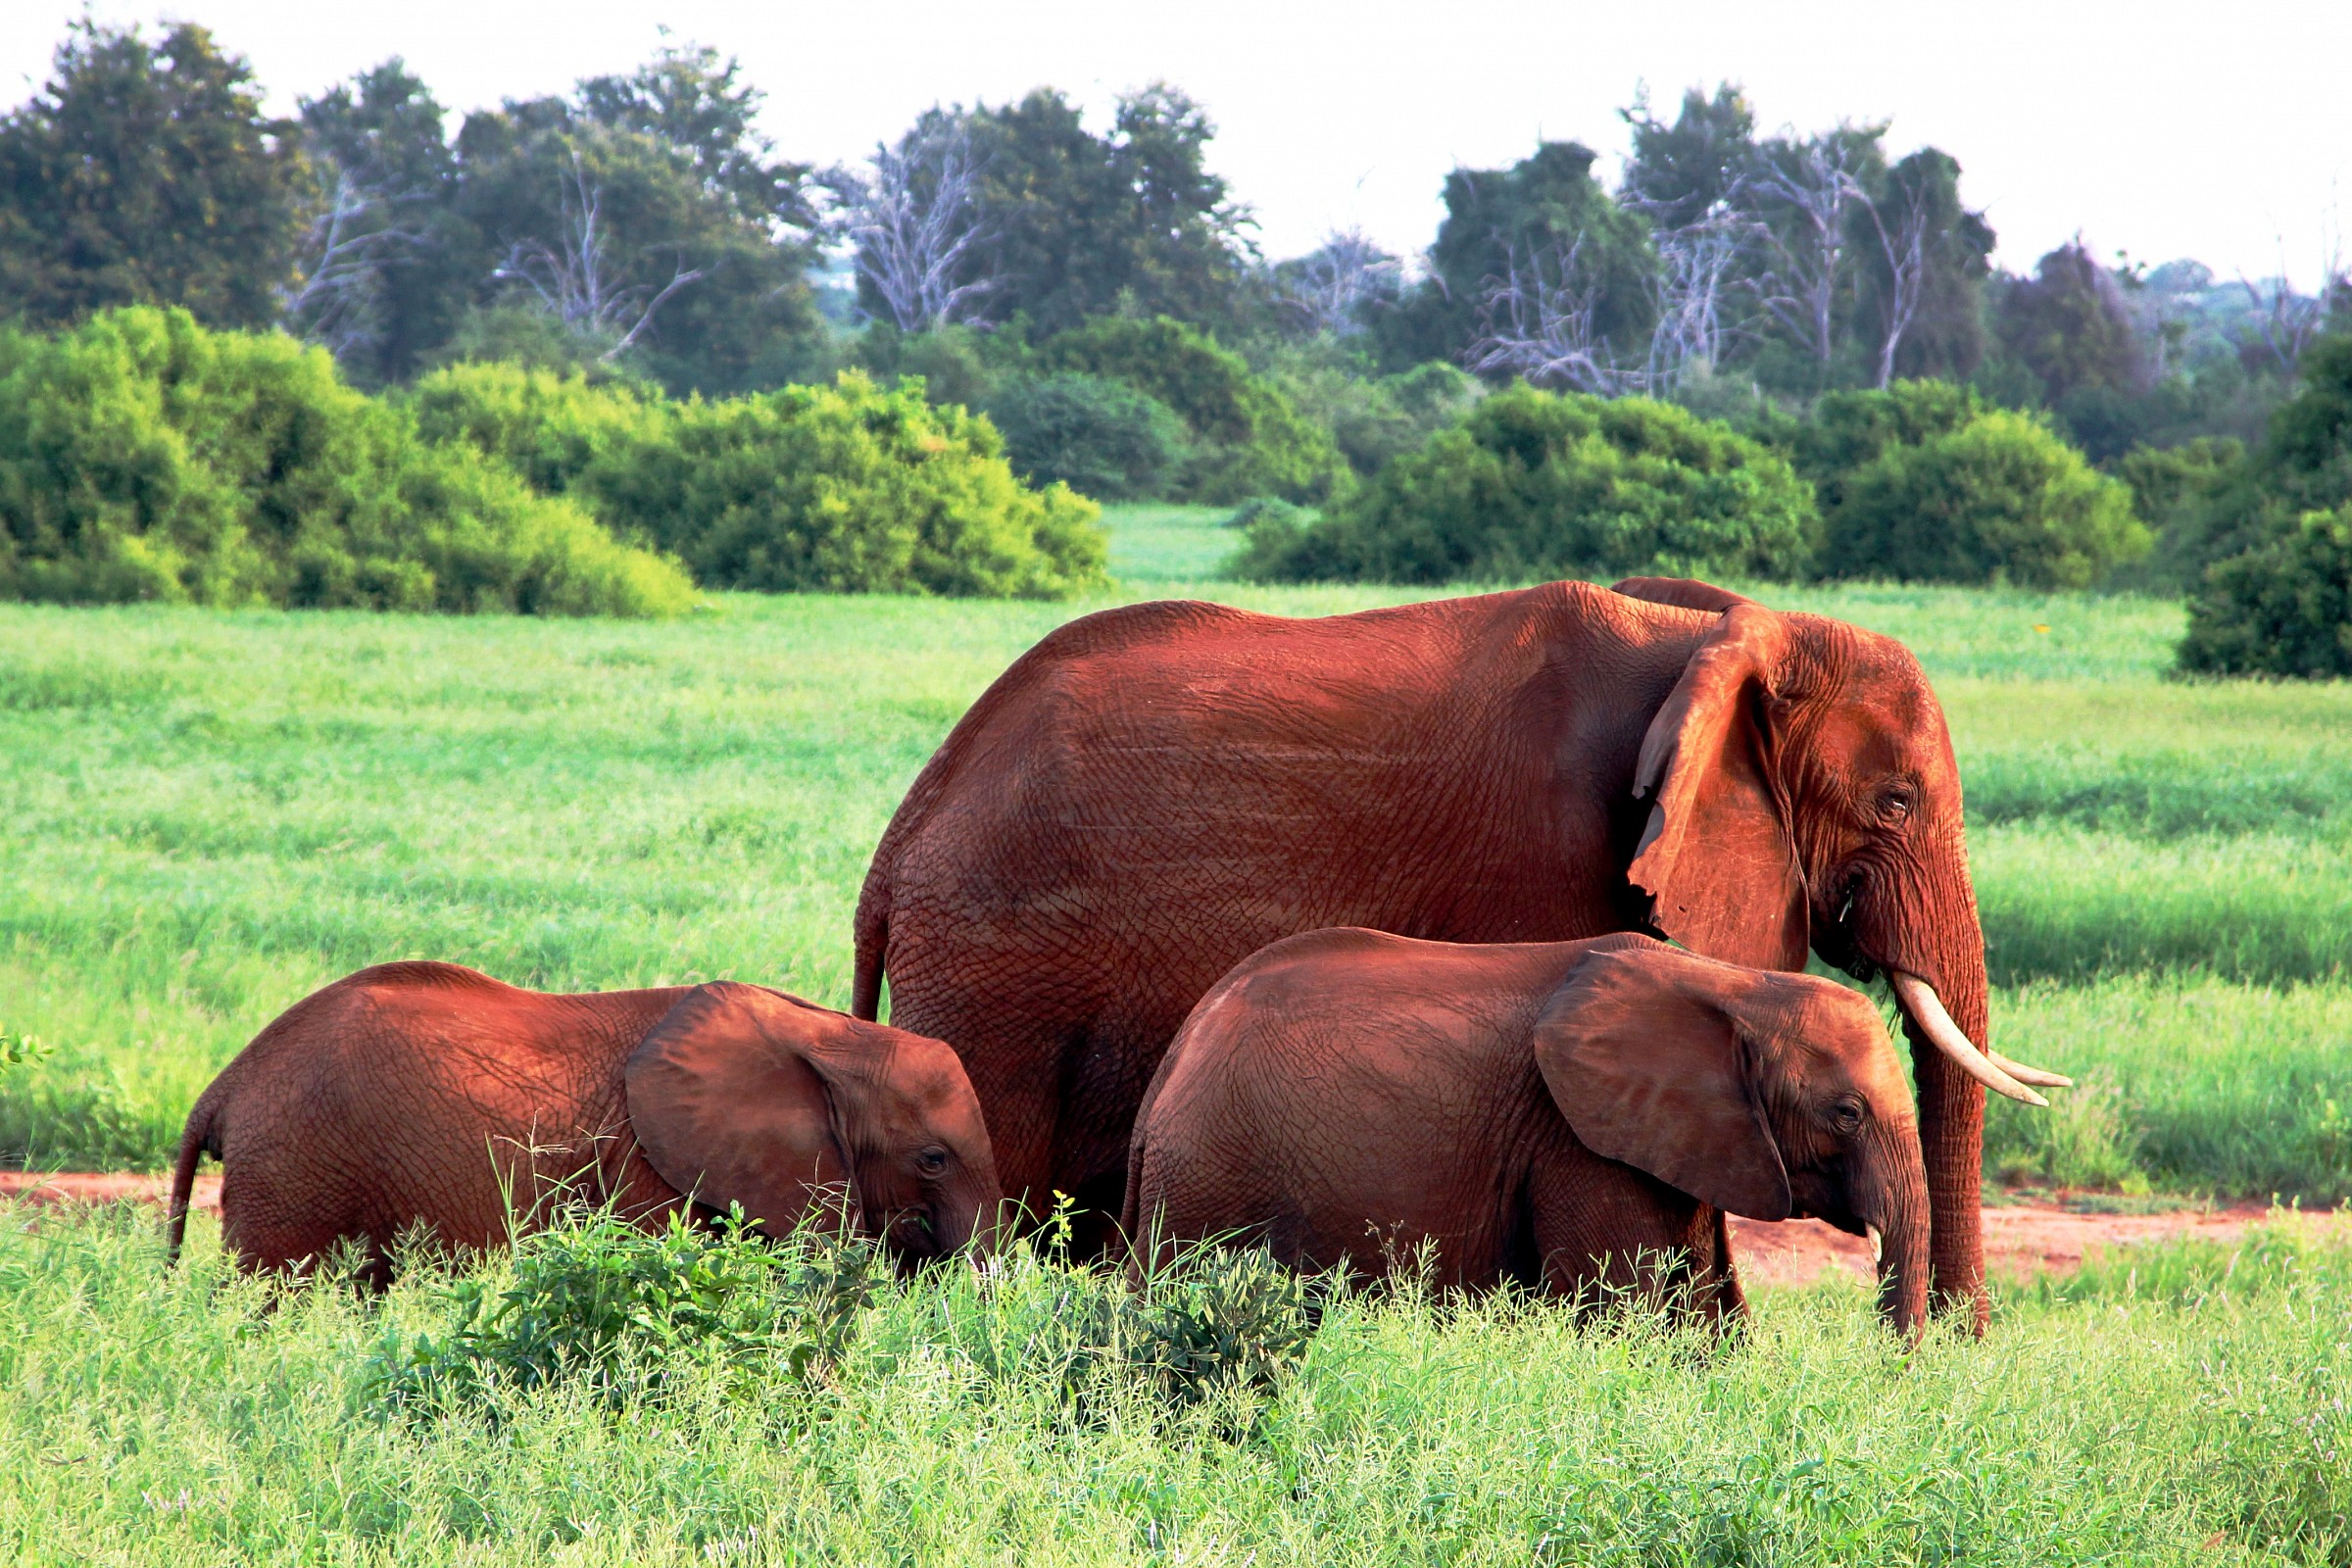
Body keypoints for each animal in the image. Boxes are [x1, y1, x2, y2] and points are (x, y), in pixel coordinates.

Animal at [1121, 929, 1931, 1334]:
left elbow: (1707, 1313)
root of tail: (1176, 1058)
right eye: (1847, 1114)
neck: (1735, 986)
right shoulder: (1579, 1142)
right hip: (1211, 1177)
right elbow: (1624, 1316)